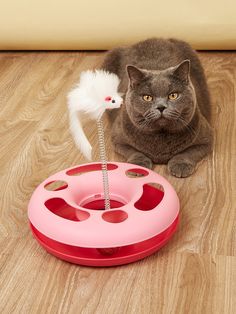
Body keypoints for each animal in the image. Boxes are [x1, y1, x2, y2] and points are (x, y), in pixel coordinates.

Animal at [102, 37, 213, 177]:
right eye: (147, 97)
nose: (161, 107)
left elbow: (188, 152)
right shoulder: (118, 139)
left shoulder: (206, 138)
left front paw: (180, 165)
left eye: (173, 95)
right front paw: (139, 165)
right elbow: (133, 151)